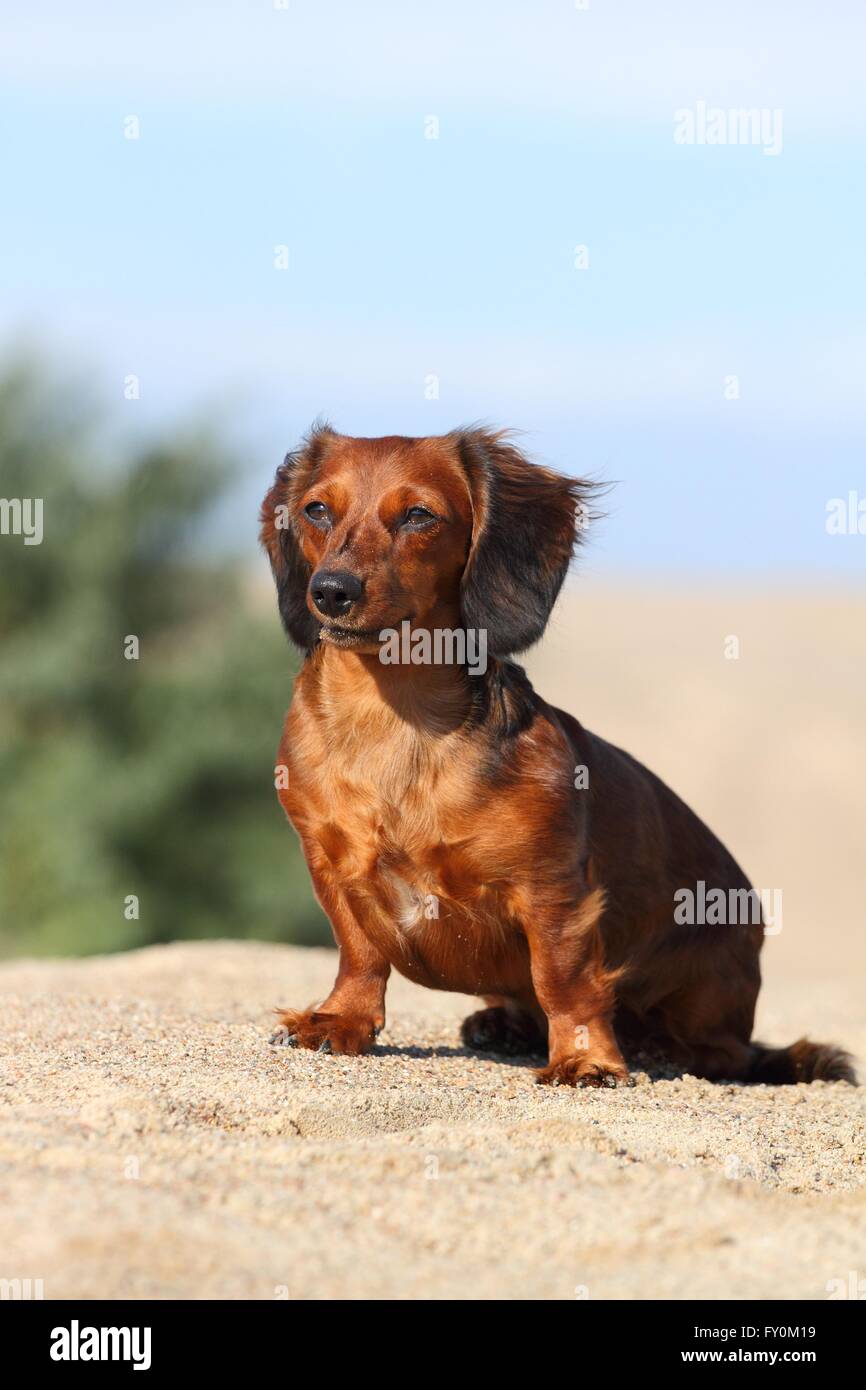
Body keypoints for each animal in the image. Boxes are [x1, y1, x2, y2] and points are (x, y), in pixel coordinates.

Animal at [257, 422, 856, 1084]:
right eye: (316, 510)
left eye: (418, 515)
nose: (330, 592)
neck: (395, 720)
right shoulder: (329, 864)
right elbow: (359, 951)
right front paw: (340, 1020)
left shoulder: (551, 889)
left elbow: (562, 977)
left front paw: (585, 1057)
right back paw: (506, 1026)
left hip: (710, 985)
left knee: (721, 1050)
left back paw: (658, 1046)